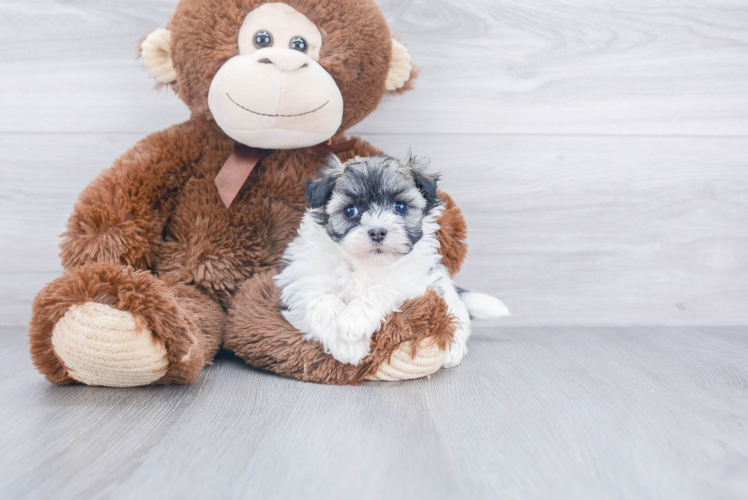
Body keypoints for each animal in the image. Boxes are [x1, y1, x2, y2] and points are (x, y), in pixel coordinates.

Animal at [274, 154, 508, 366]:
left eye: (400, 207)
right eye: (350, 210)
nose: (377, 232)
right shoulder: (302, 279)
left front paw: (353, 322)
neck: (364, 264)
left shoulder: (415, 283)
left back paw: (453, 350)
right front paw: (346, 345)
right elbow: (319, 300)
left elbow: (382, 288)